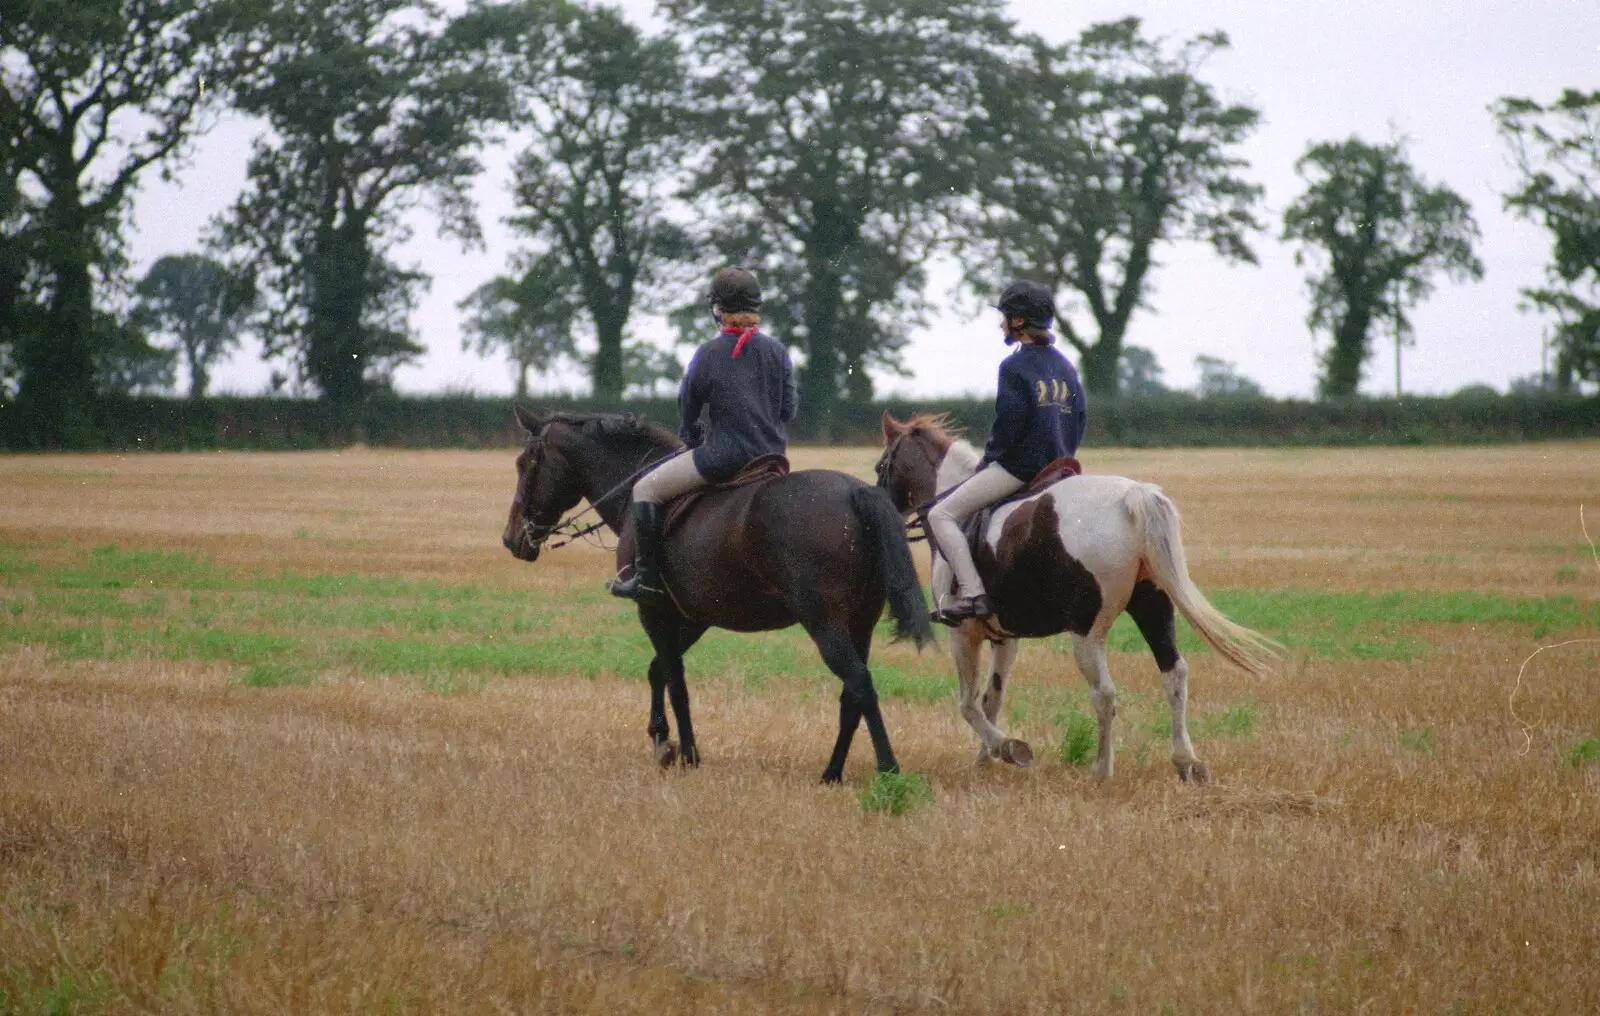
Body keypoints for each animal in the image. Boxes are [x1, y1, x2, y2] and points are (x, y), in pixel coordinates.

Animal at [502, 409, 934, 784]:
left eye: (525, 463)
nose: (510, 539)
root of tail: (857, 492)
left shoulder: (652, 609)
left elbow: (675, 680)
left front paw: (685, 753)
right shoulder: (694, 618)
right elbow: (658, 669)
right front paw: (662, 741)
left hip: (825, 623)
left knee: (859, 682)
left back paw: (889, 770)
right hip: (861, 622)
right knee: (851, 695)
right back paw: (832, 773)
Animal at [876, 412, 1273, 787]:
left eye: (881, 467)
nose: (883, 509)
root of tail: (1132, 497)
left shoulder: (963, 633)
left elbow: (968, 704)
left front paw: (1006, 748)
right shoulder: (1005, 638)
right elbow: (992, 699)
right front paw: (986, 759)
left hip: (1086, 632)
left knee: (1105, 693)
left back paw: (1101, 770)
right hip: (1153, 606)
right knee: (1174, 673)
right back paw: (1186, 762)